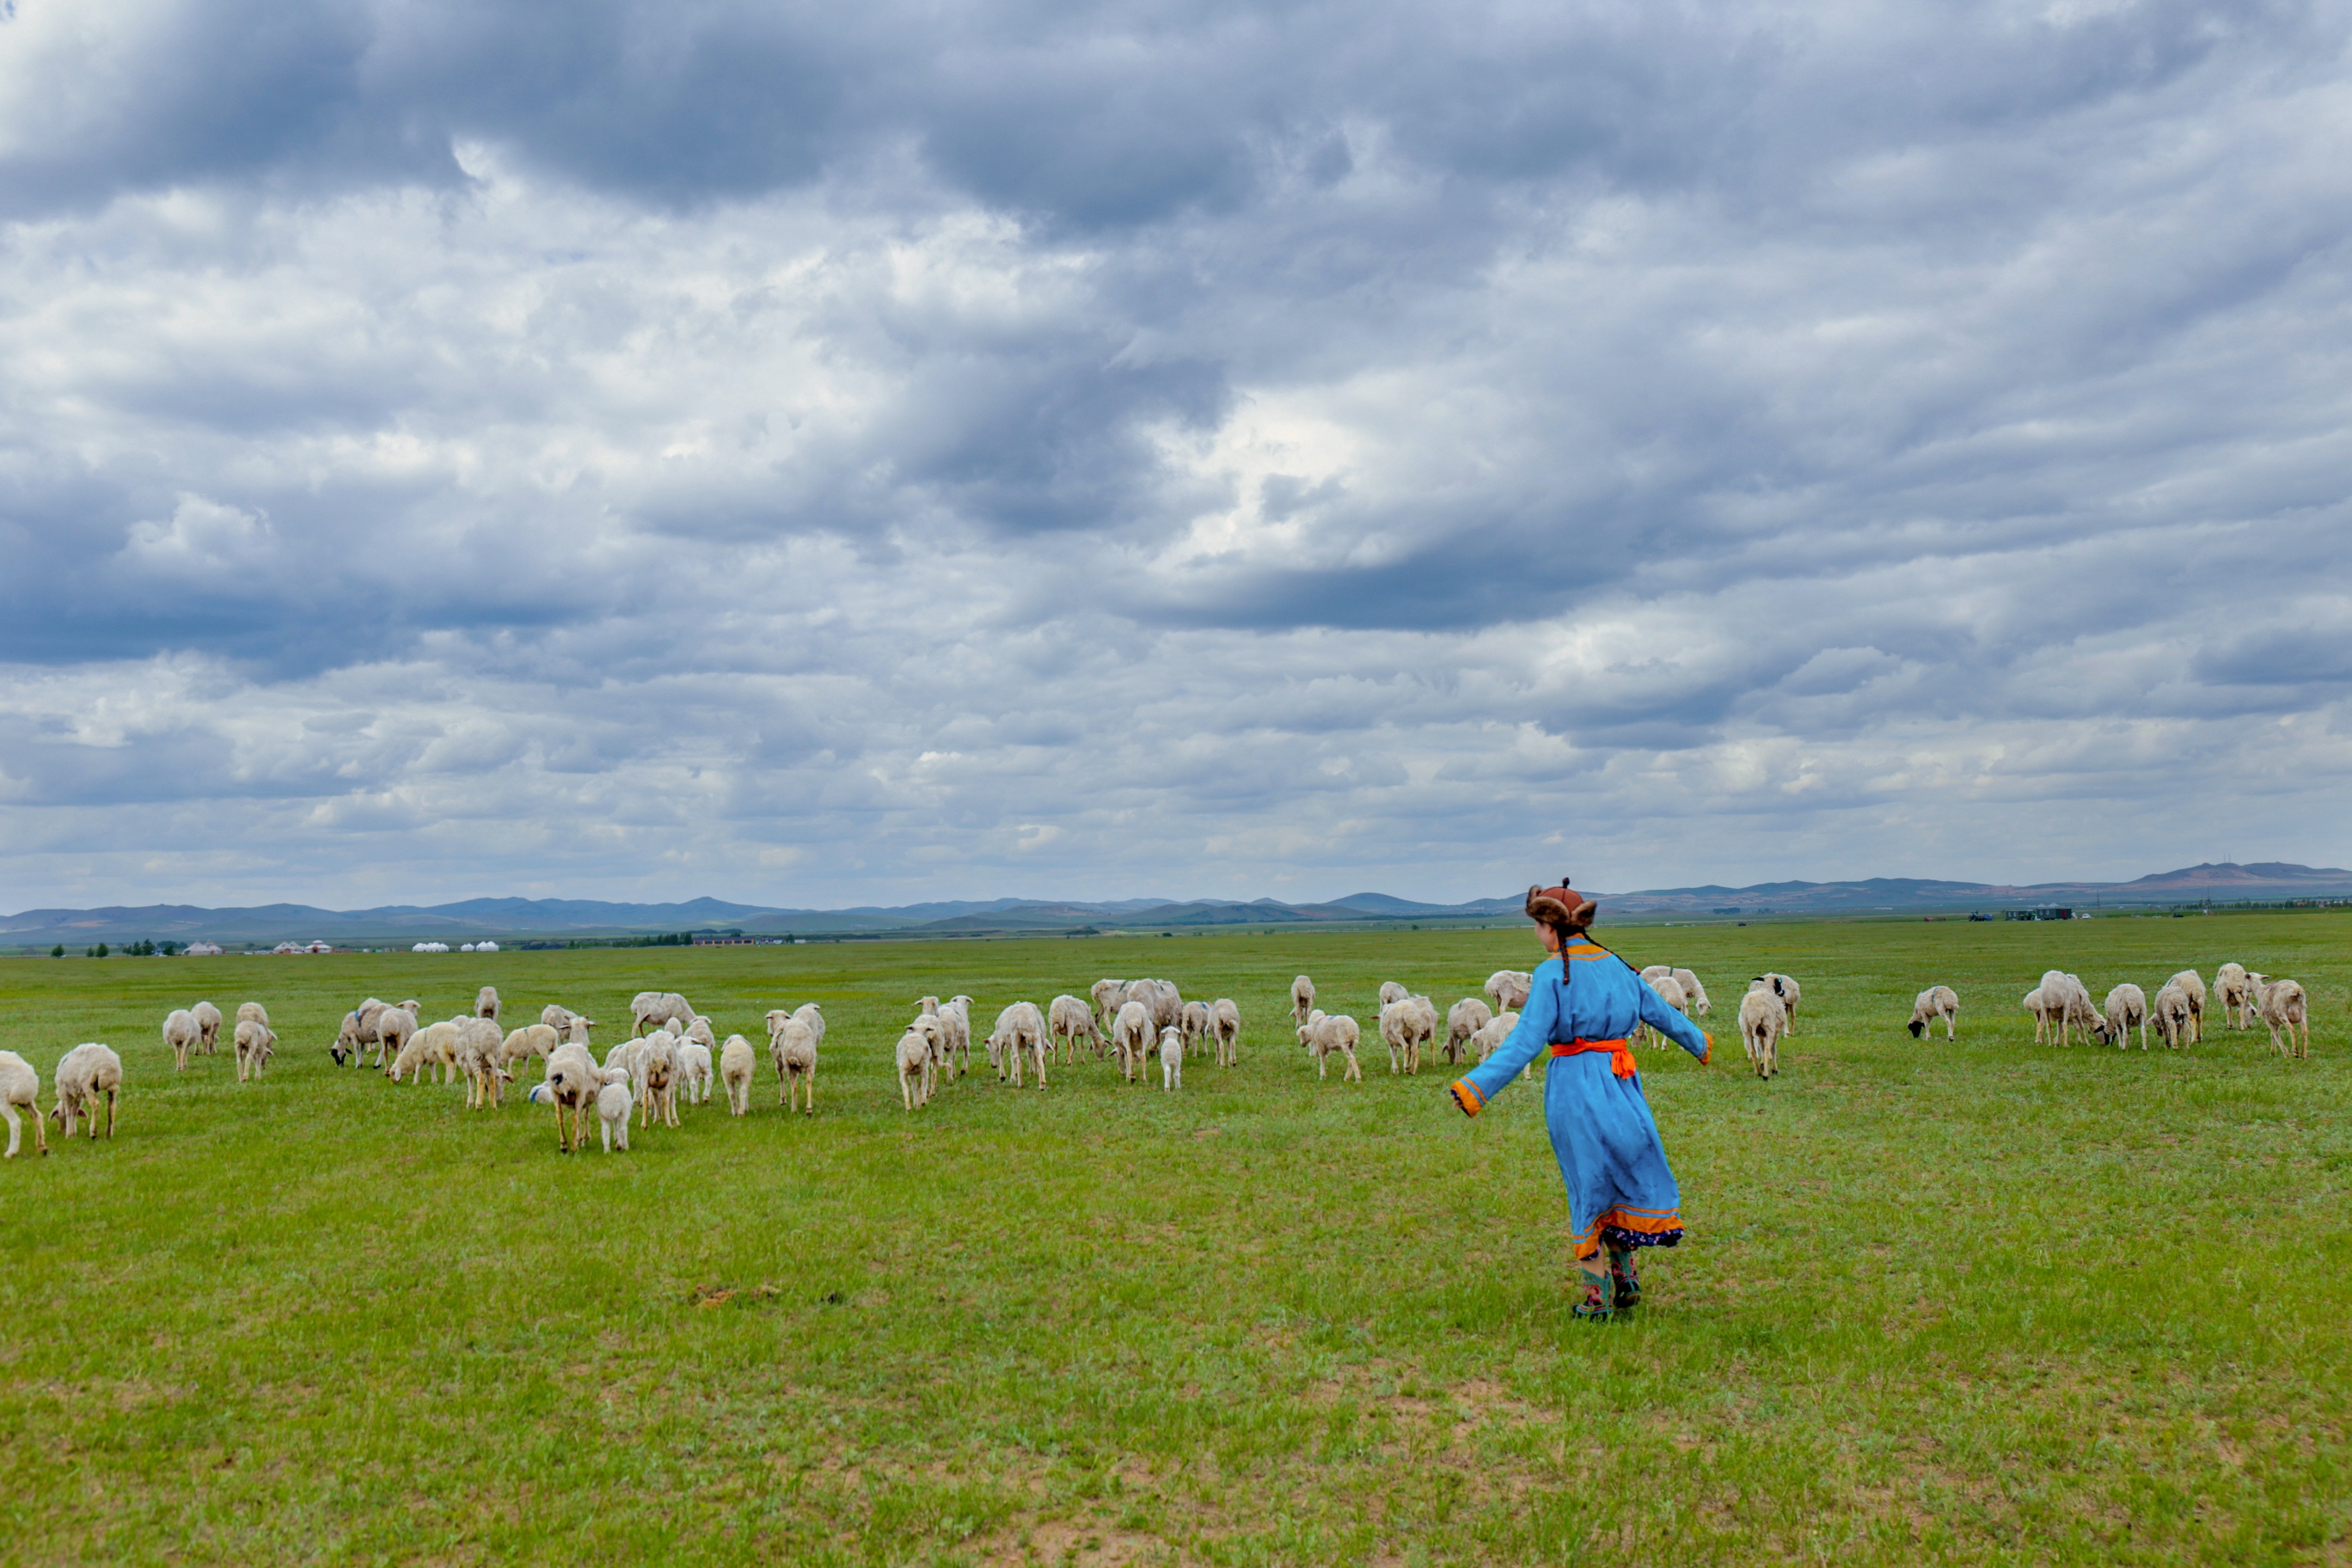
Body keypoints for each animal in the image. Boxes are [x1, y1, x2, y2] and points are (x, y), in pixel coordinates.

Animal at [0, 1048, 44, 1161]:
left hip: (3, 1098)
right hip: (26, 1101)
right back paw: (42, 1146)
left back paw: (11, 1152)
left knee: (15, 1122)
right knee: (37, 1116)